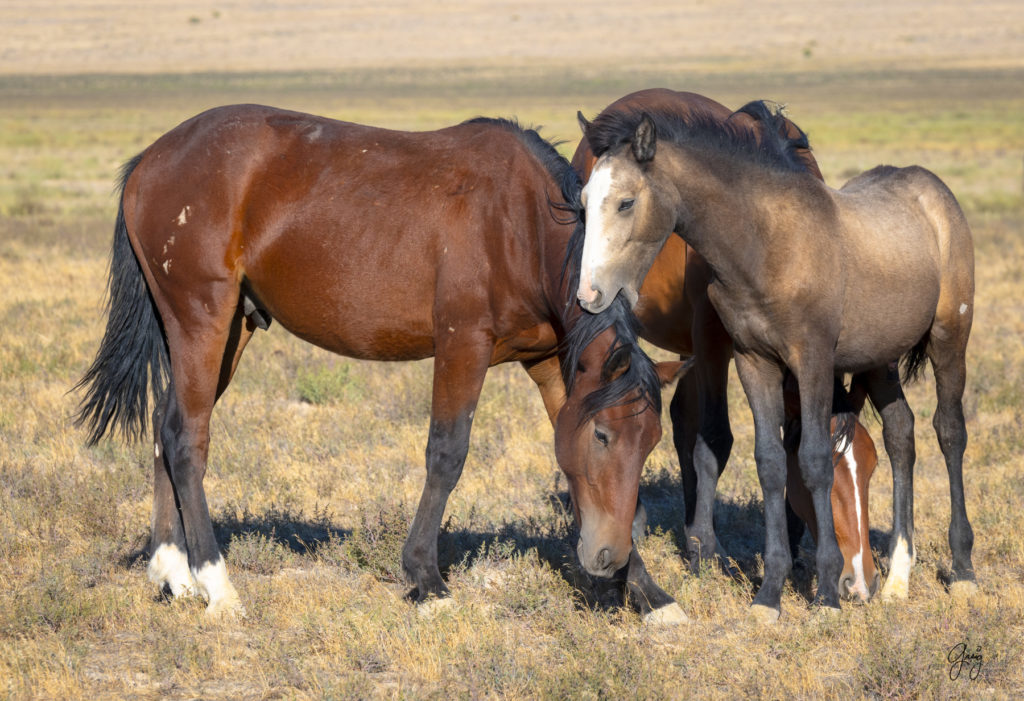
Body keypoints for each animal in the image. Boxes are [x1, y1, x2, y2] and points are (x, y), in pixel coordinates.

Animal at [74, 105, 679, 618]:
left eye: (650, 442)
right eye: (603, 435)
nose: (605, 557)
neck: (518, 221)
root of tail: (150, 160)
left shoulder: (552, 363)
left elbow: (577, 473)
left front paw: (649, 592)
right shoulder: (463, 344)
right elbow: (446, 454)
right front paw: (427, 579)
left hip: (230, 330)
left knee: (165, 422)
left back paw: (172, 572)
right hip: (202, 319)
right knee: (186, 437)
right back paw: (217, 585)